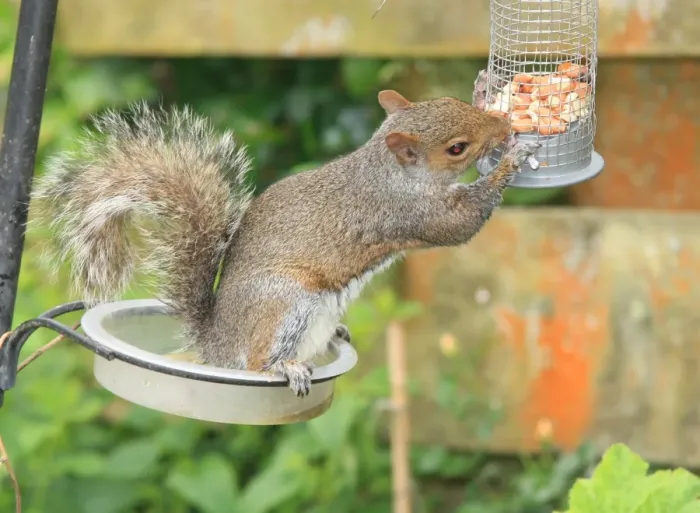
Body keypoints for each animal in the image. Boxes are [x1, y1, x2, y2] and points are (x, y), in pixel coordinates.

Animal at [32, 90, 539, 397]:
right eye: (457, 148)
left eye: (453, 99)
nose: (503, 127)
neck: (390, 171)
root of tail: (217, 344)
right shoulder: (410, 213)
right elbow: (461, 225)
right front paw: (511, 161)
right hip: (285, 299)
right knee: (258, 364)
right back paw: (286, 368)